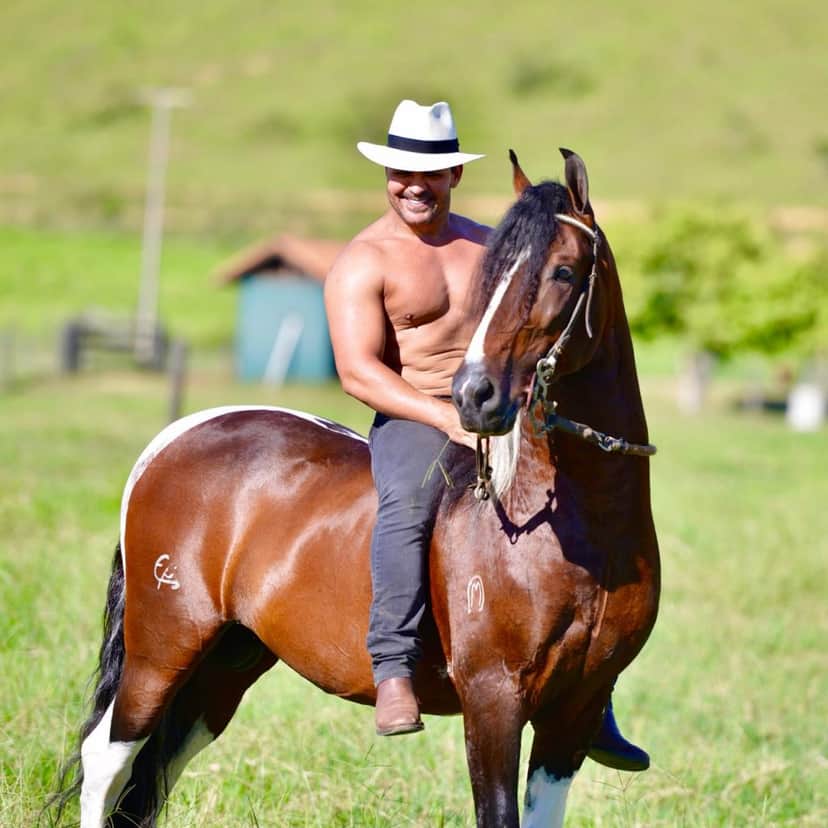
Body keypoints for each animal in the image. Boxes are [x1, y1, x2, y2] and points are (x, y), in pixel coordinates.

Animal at [56, 148, 659, 828]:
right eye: (489, 282)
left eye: (562, 271)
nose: (474, 396)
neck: (577, 527)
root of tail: (178, 436)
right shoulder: (494, 701)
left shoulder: (573, 713)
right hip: (163, 646)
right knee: (109, 757)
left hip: (225, 663)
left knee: (159, 765)